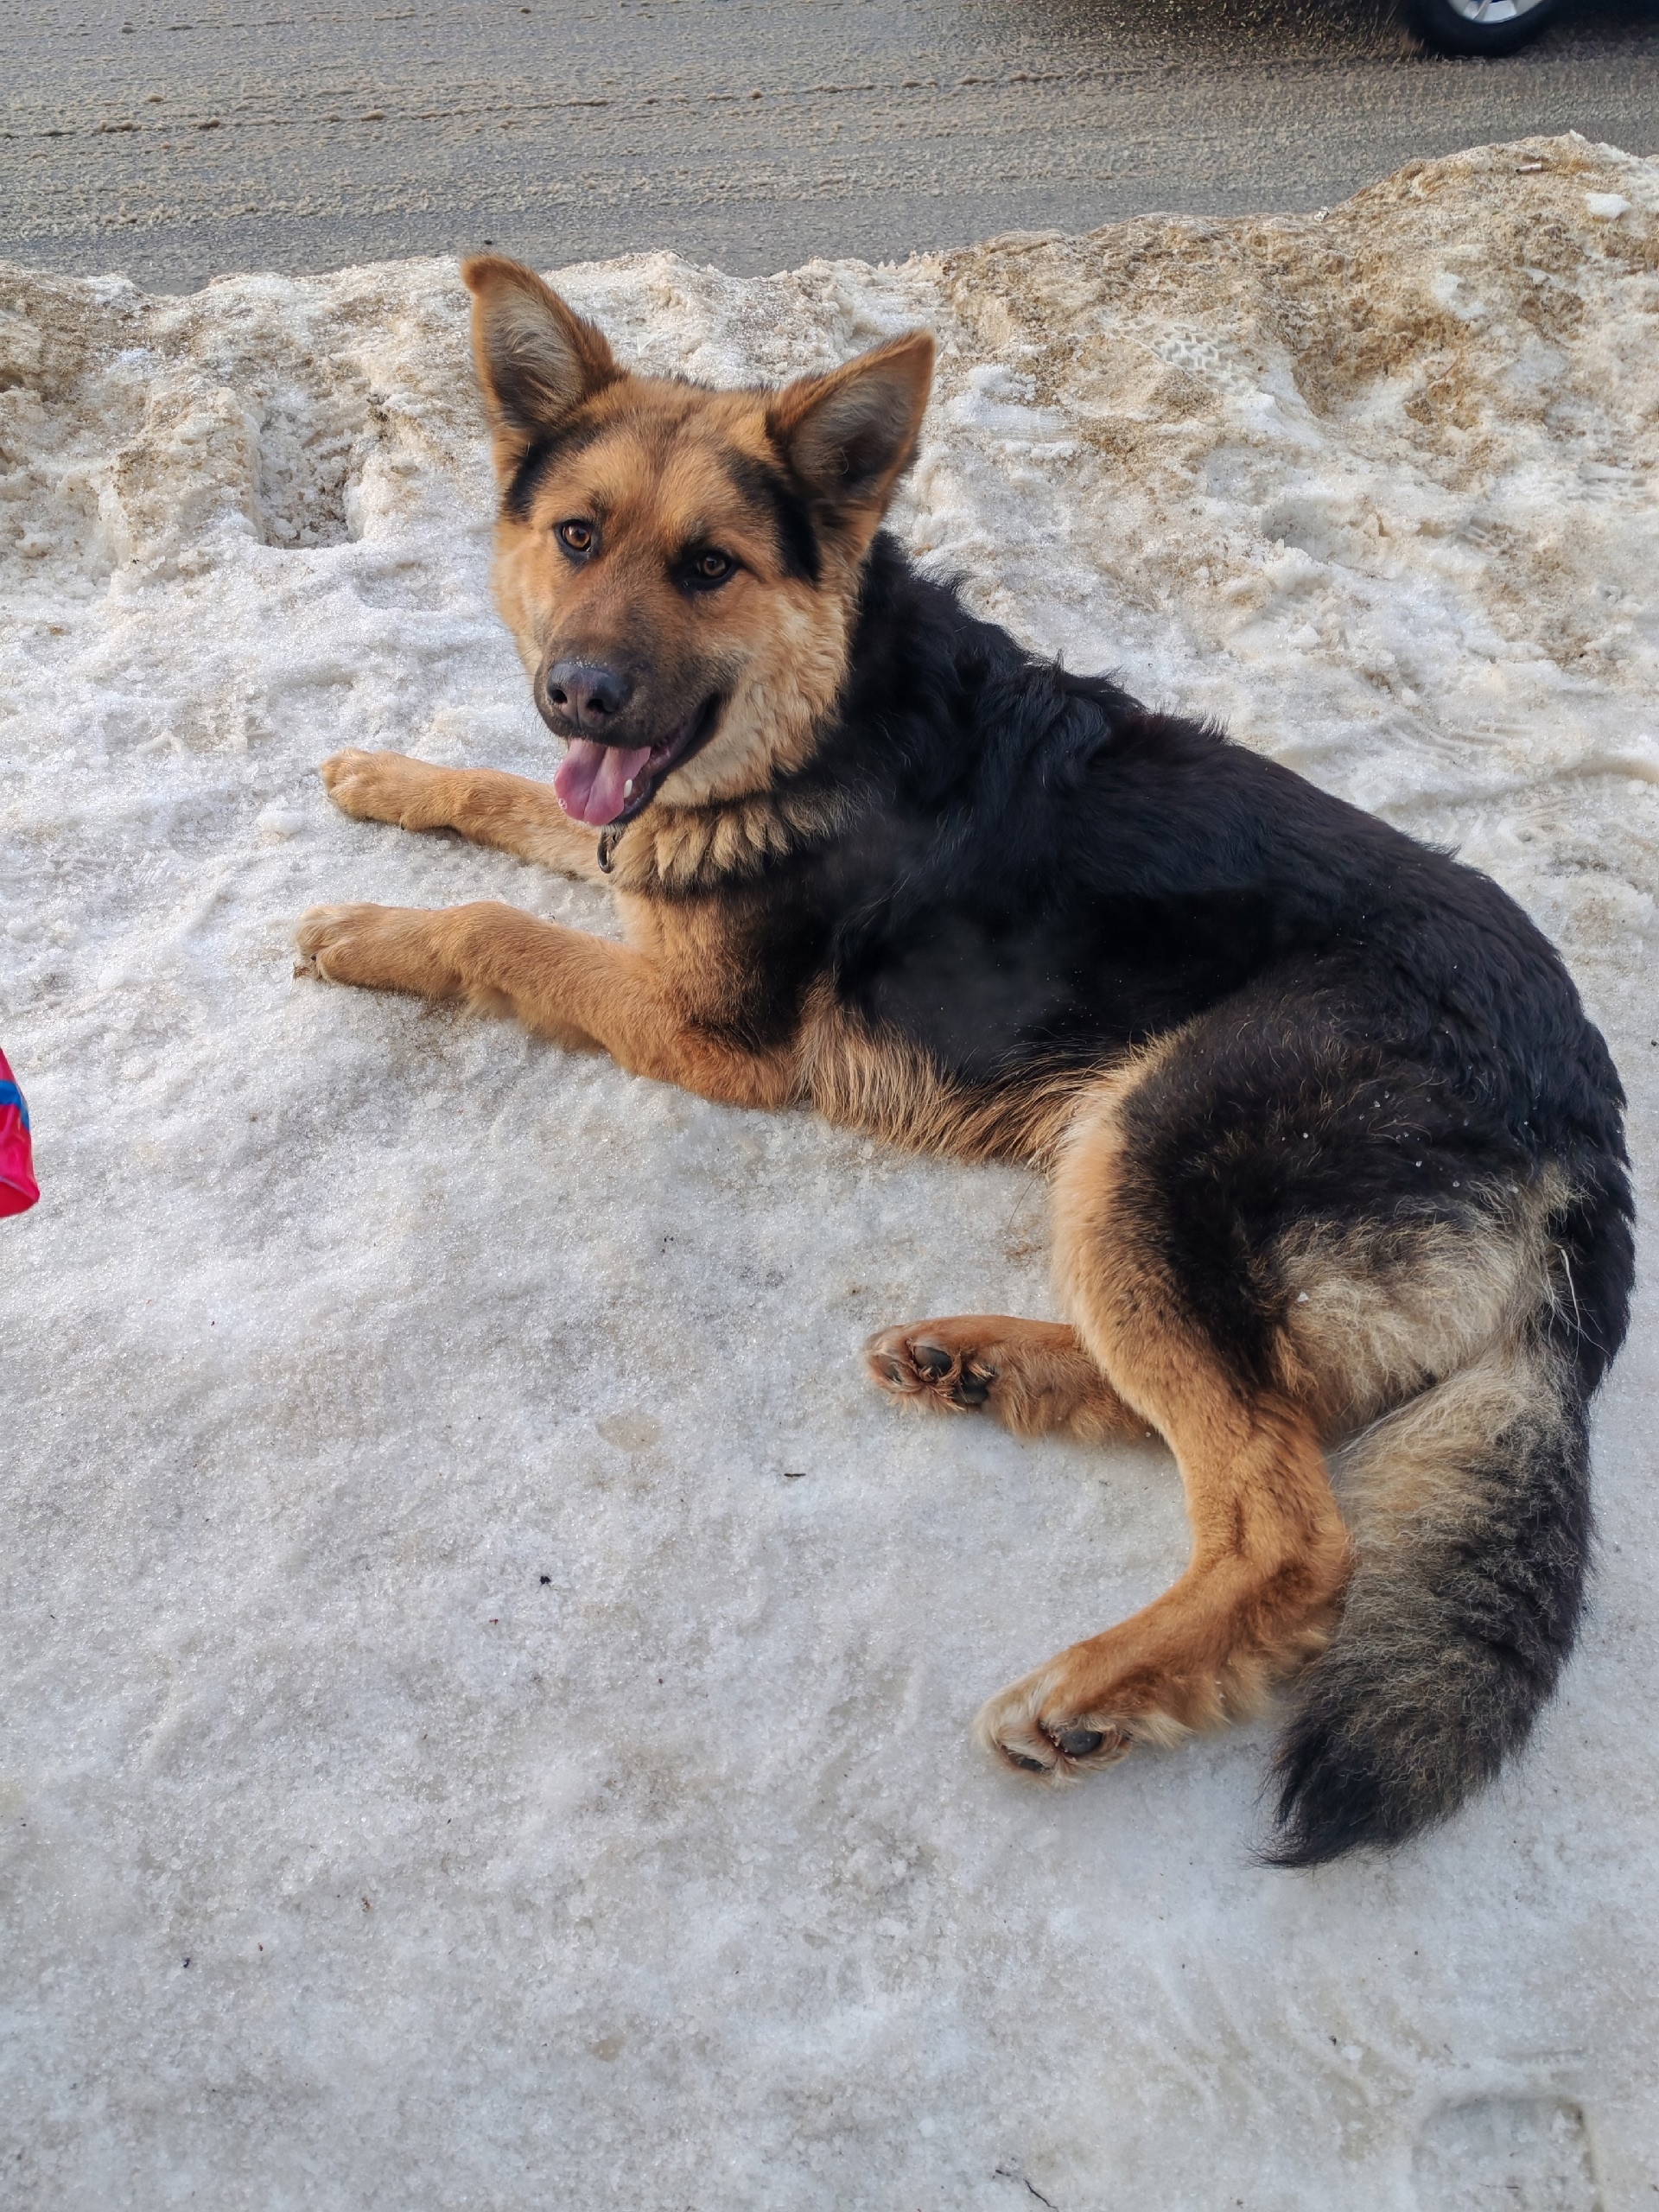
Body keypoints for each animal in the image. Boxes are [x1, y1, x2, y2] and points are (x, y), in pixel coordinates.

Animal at [295, 254, 1633, 1865]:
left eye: (709, 568)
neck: (825, 714)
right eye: (578, 537)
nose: (582, 694)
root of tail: (1584, 1114)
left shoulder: (708, 1029)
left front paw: (366, 927)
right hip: (1155, 1185)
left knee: (1287, 1522)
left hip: (1152, 1133)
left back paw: (1096, 1691)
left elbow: (496, 926)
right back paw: (979, 1362)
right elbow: (522, 804)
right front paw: (386, 773)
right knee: (1274, 1410)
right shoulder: (633, 850)